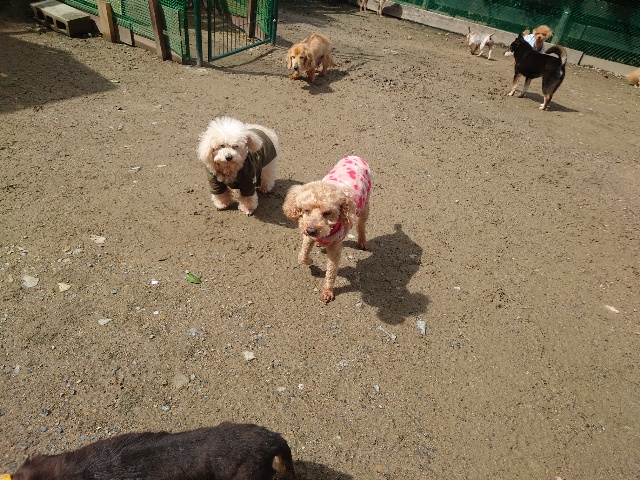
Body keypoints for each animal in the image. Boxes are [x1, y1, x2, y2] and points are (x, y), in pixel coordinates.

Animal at [283, 156, 372, 303]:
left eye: (327, 213)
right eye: (306, 210)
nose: (311, 230)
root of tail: (355, 157)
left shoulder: (335, 247)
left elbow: (331, 271)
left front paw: (328, 291)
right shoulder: (308, 238)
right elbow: (302, 256)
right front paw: (310, 261)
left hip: (365, 206)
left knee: (361, 225)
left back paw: (362, 241)